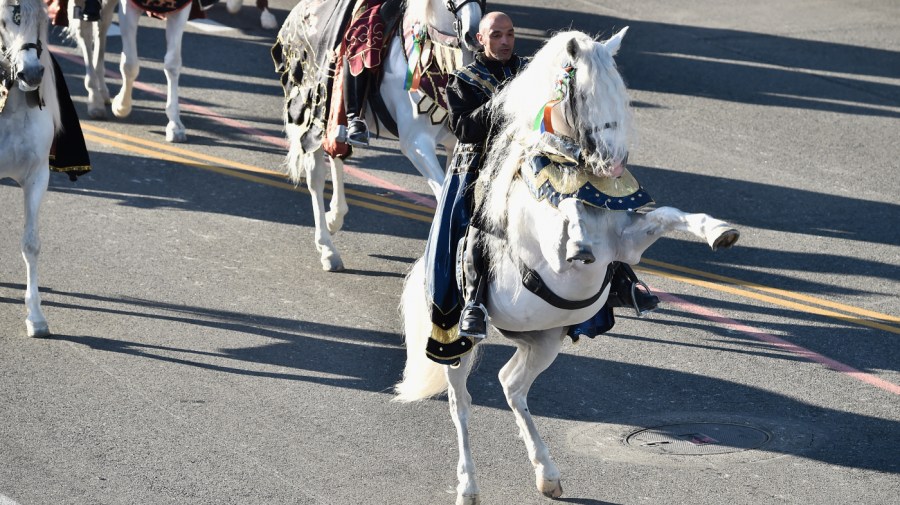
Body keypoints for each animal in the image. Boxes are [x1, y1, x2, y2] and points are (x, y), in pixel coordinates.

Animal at [69, 0, 191, 142]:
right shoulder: (128, 7)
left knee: (102, 25)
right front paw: (121, 106)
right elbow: (130, 64)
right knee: (84, 32)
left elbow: (172, 64)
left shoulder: (180, 10)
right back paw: (95, 99)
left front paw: (175, 125)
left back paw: (102, 91)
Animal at [280, 0, 486, 272]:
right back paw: (327, 248)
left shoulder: (455, 144)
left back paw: (335, 216)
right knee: (315, 176)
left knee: (337, 152)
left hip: (335, 114)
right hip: (311, 114)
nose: (474, 35)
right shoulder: (416, 143)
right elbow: (442, 192)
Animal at [394, 29, 740, 502]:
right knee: (460, 402)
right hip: (456, 341)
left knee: (511, 384)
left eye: (621, 92)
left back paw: (548, 473)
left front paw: (719, 232)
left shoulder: (627, 245)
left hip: (542, 338)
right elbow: (569, 212)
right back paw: (468, 485)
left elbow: (670, 214)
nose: (613, 163)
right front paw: (577, 238)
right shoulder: (553, 256)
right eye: (586, 93)